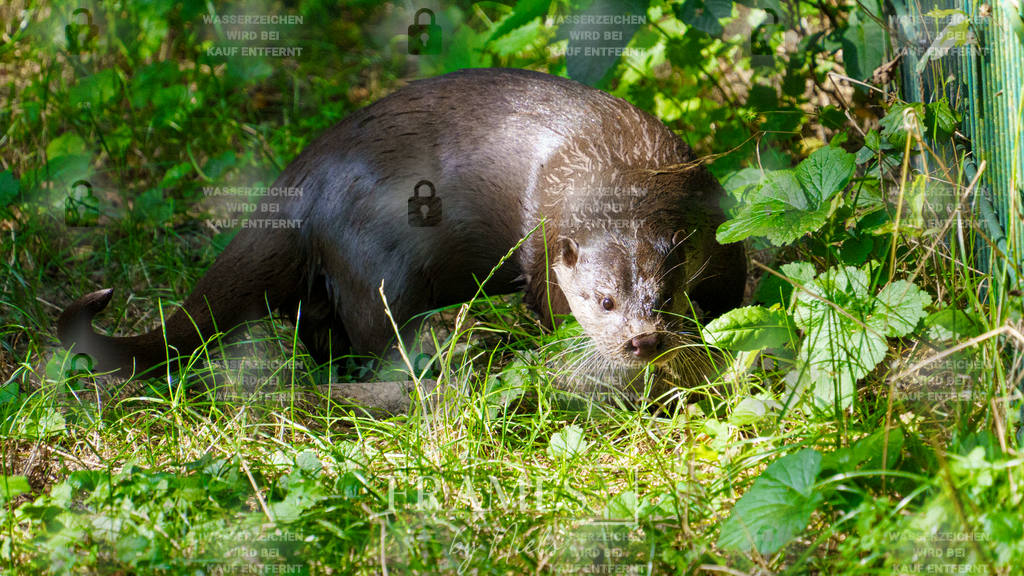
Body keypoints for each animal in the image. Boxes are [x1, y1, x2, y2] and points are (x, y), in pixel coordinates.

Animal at [57, 68, 746, 386]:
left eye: (664, 296)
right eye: (603, 301)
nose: (643, 341)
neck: (611, 161)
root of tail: (301, 182)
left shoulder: (714, 220)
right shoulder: (542, 248)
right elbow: (547, 306)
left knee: (318, 330)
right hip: (378, 263)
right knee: (374, 334)